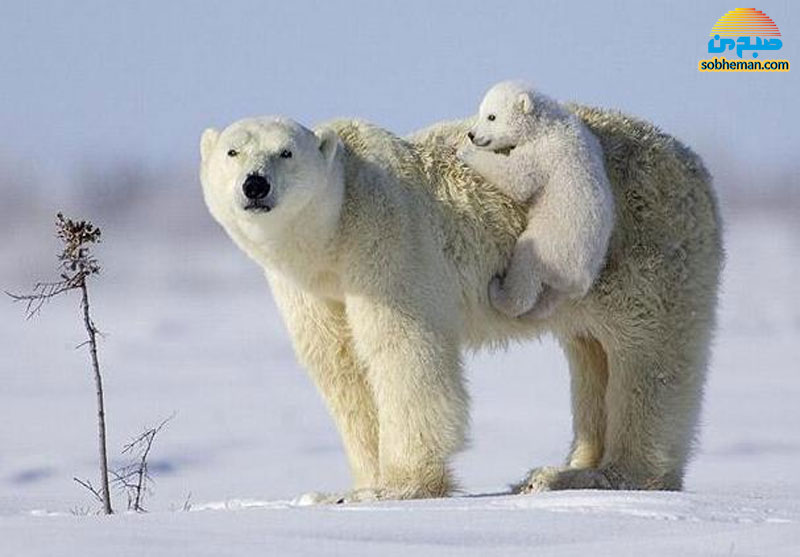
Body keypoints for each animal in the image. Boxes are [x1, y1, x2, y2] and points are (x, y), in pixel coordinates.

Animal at [200, 107, 724, 500]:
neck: (334, 232)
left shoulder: (386, 238)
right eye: (233, 151)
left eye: (286, 152)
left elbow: (403, 353)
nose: (255, 184)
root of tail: (695, 165)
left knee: (648, 358)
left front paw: (400, 486)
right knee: (591, 352)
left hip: (644, 244)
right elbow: (341, 368)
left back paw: (612, 474)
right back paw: (557, 471)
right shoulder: (310, 289)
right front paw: (352, 487)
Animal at [460, 80, 616, 320]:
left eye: (491, 116)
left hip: (551, 247)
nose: (471, 134)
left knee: (525, 267)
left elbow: (517, 178)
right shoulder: (587, 135)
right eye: (481, 111)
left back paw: (498, 292)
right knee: (549, 298)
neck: (546, 124)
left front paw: (465, 152)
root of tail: (581, 280)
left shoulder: (543, 152)